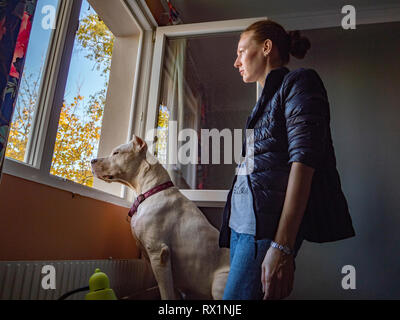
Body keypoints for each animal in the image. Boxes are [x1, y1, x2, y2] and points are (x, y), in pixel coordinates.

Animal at [90, 135, 228, 300]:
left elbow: (165, 293)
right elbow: (172, 292)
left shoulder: (158, 253)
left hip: (219, 283)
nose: (92, 160)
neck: (151, 191)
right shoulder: (154, 259)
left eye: (116, 152)